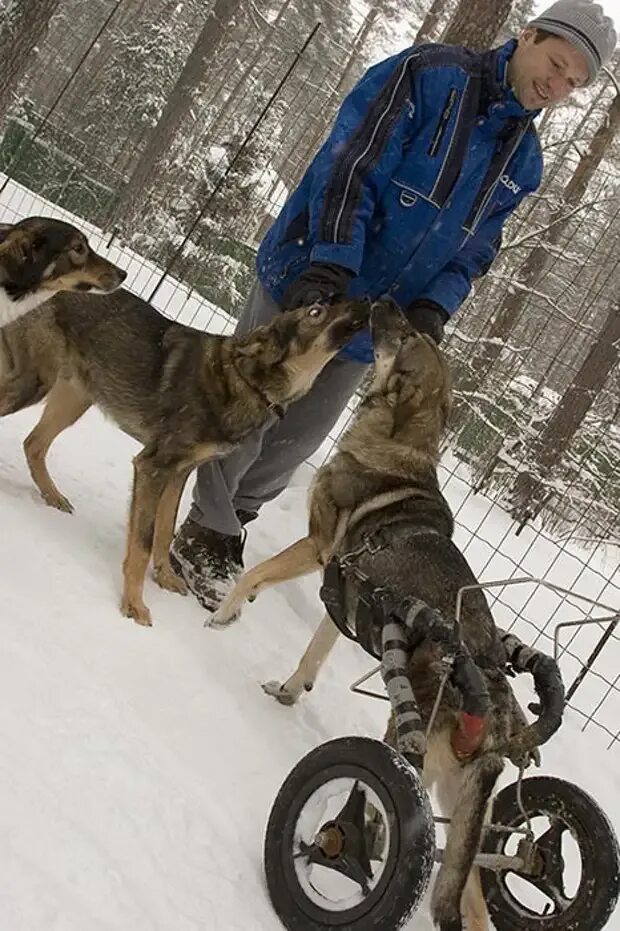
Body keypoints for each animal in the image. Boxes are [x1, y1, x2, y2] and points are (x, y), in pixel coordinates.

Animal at [0, 292, 368, 628]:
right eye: (316, 312)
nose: (367, 301)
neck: (243, 379)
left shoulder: (179, 472)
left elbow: (164, 530)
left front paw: (164, 577)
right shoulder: (153, 467)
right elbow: (143, 542)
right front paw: (134, 603)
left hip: (74, 397)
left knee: (34, 444)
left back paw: (52, 495)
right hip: (32, 383)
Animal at [211, 300, 532, 931]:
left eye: (402, 335)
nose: (385, 303)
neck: (400, 441)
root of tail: (499, 720)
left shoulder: (318, 547)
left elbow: (256, 575)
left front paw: (226, 613)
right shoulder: (342, 584)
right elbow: (314, 650)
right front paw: (288, 690)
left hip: (410, 761)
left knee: (392, 831)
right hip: (461, 806)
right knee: (466, 895)